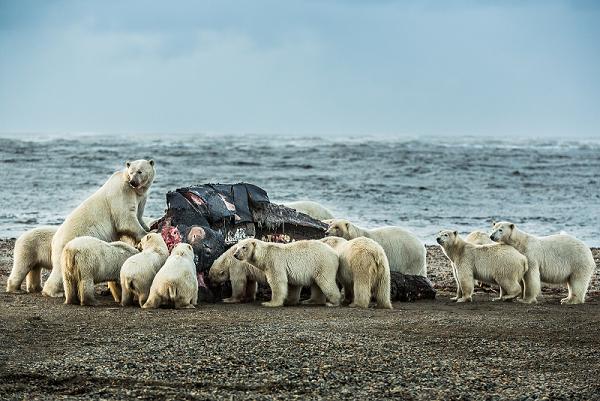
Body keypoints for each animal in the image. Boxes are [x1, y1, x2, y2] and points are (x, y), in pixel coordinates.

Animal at [42, 159, 155, 296]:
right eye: (131, 172)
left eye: (140, 171)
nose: (133, 182)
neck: (134, 191)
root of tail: (54, 240)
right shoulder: (123, 193)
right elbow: (125, 220)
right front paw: (145, 234)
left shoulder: (140, 199)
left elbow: (139, 216)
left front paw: (148, 227)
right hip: (66, 245)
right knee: (58, 270)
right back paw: (54, 292)